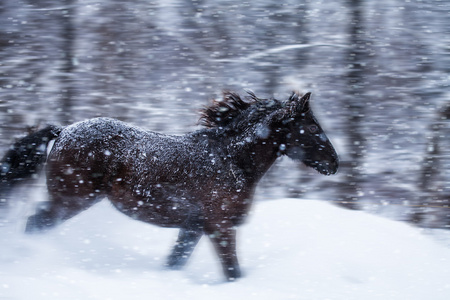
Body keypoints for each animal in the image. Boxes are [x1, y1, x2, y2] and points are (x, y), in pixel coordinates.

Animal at [0, 90, 338, 280]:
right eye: (312, 128)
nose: (334, 163)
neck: (231, 159)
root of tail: (62, 131)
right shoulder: (220, 227)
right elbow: (232, 272)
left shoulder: (193, 228)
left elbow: (174, 262)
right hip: (70, 200)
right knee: (35, 224)